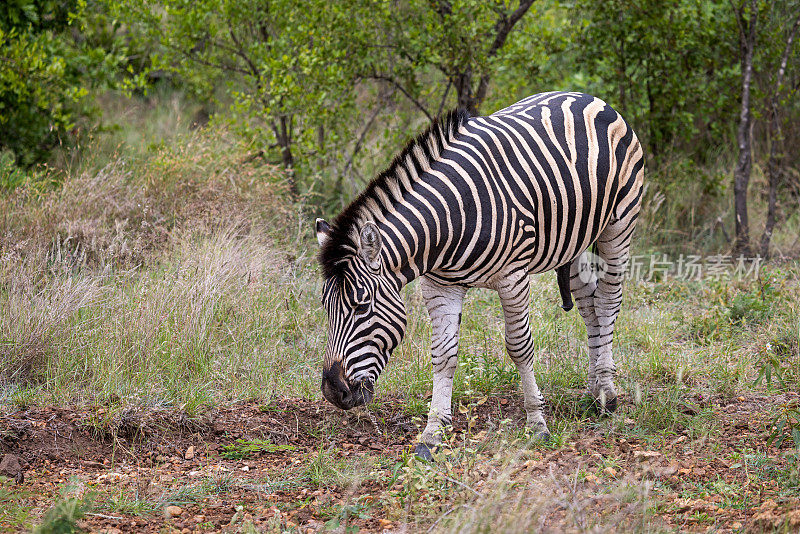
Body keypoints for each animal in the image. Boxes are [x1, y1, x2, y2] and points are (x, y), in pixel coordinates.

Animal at [312, 91, 644, 460]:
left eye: (361, 307)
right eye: (326, 308)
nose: (333, 392)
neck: (448, 221)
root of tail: (585, 96)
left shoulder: (513, 278)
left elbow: (519, 347)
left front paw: (537, 424)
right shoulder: (439, 284)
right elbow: (443, 355)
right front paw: (432, 433)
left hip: (619, 225)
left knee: (608, 301)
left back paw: (608, 395)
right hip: (575, 238)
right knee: (589, 306)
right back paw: (593, 386)